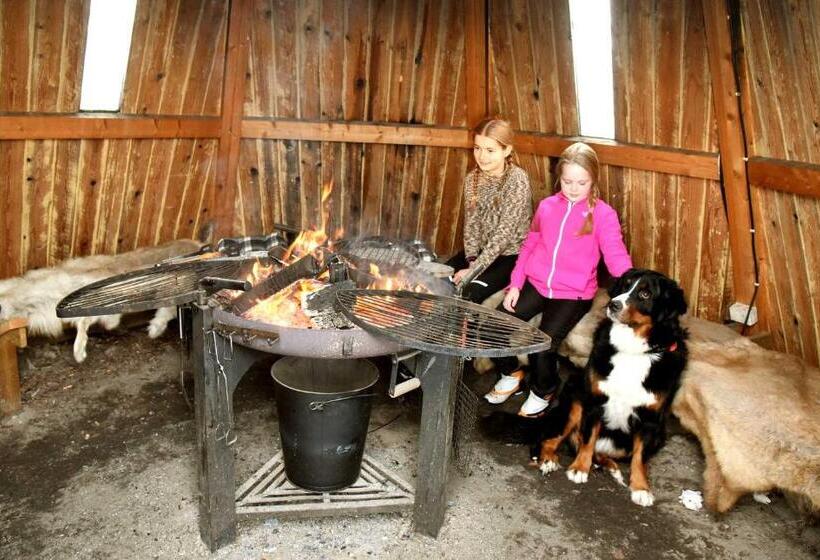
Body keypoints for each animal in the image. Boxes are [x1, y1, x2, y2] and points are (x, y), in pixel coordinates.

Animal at [484, 268, 688, 508]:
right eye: (624, 285)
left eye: (645, 294)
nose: (613, 305)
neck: (631, 349)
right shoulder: (593, 401)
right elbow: (588, 440)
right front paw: (579, 468)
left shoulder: (651, 418)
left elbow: (639, 457)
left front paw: (641, 488)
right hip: (573, 399)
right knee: (550, 438)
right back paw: (549, 459)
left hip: (659, 433)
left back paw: (609, 466)